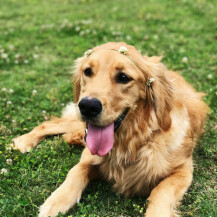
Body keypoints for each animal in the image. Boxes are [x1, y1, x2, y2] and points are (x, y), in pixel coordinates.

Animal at [12, 42, 209, 217]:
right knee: (49, 124)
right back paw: (23, 141)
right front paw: (56, 201)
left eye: (123, 77)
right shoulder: (90, 156)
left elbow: (161, 191)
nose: (88, 106)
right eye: (88, 71)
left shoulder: (184, 169)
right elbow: (76, 170)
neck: (131, 143)